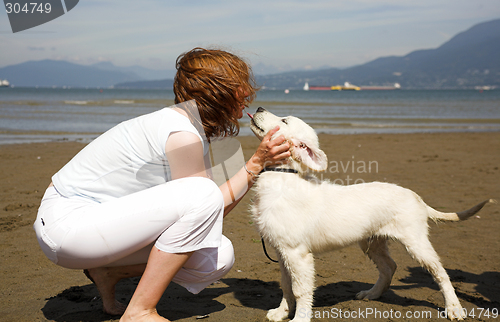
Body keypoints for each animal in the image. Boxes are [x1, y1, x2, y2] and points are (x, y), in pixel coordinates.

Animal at [248, 108, 494, 322]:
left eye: (284, 121)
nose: (258, 108)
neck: (282, 176)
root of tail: (417, 198)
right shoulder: (282, 252)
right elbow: (286, 285)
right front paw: (281, 312)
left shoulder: (297, 253)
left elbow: (300, 290)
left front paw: (299, 318)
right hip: (372, 241)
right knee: (389, 267)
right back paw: (372, 294)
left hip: (415, 242)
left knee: (440, 272)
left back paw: (454, 308)